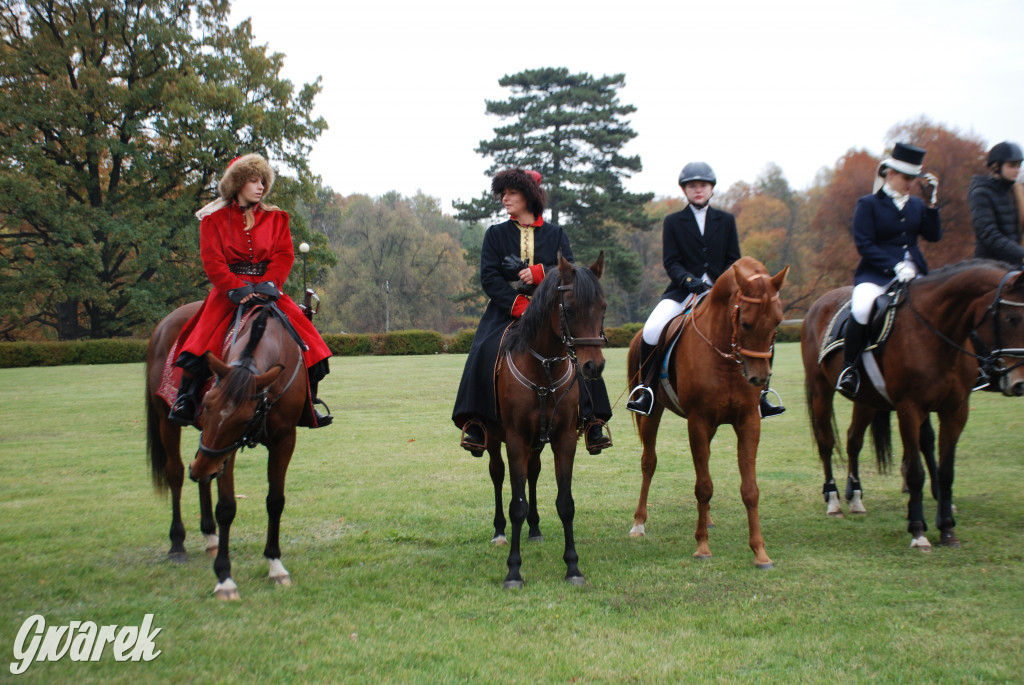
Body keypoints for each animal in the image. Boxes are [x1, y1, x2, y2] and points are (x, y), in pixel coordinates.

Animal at [146, 301, 307, 593]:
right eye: (208, 404)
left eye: (244, 419)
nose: (201, 467)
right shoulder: (225, 448)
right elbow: (227, 507)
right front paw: (224, 577)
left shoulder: (284, 439)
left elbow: (275, 500)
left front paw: (275, 564)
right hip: (167, 419)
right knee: (176, 472)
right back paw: (177, 543)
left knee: (202, 475)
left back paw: (210, 536)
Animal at [481, 250, 602, 589]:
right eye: (569, 308)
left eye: (603, 307)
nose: (593, 366)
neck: (544, 366)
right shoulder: (516, 440)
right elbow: (516, 504)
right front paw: (513, 570)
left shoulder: (564, 440)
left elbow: (566, 503)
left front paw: (573, 566)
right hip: (494, 439)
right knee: (497, 475)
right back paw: (499, 531)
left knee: (533, 475)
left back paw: (534, 529)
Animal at [622, 255, 782, 565]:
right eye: (745, 323)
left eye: (778, 322)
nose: (758, 378)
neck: (727, 358)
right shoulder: (697, 421)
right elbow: (703, 485)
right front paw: (703, 548)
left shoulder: (748, 422)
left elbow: (750, 489)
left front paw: (760, 552)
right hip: (654, 414)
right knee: (649, 463)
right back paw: (639, 523)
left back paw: (706, 519)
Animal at [802, 259, 1024, 548]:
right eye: (1012, 319)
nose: (1019, 383)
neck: (937, 333)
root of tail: (819, 303)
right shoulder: (910, 409)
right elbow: (917, 469)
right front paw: (918, 531)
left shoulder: (955, 410)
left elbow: (945, 470)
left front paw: (947, 528)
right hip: (821, 391)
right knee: (827, 443)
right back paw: (834, 500)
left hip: (866, 400)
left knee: (853, 441)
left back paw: (857, 497)